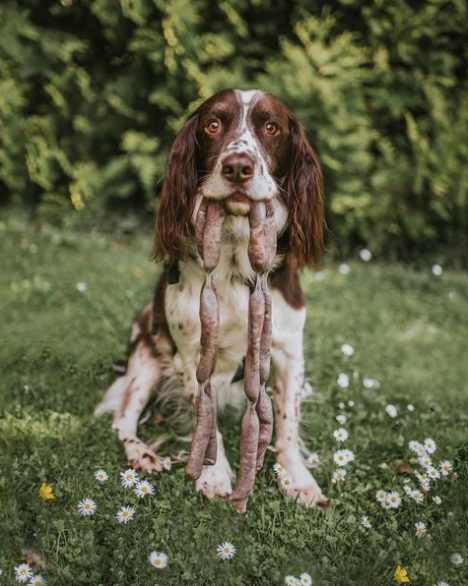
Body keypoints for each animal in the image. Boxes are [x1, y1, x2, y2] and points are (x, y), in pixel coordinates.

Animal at [96, 88, 326, 506]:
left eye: (271, 127)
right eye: (213, 124)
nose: (237, 167)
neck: (235, 266)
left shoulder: (288, 350)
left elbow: (287, 424)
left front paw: (298, 480)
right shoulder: (191, 354)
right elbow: (206, 417)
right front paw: (214, 476)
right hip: (146, 357)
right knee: (123, 418)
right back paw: (143, 454)